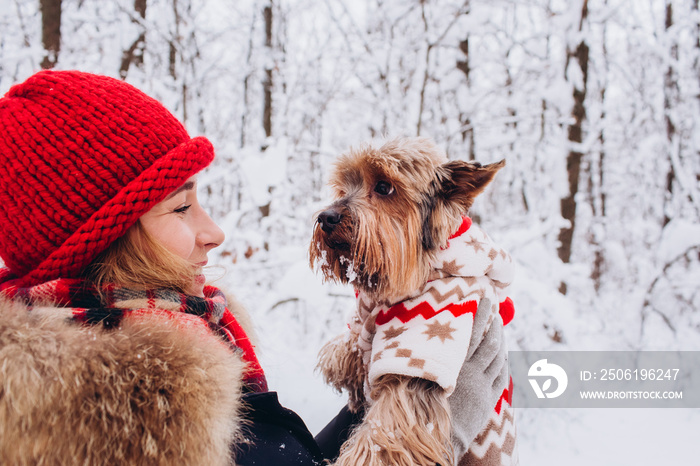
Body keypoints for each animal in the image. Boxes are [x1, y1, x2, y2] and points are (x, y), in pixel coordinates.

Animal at [308, 138, 516, 466]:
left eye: (384, 187)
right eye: (343, 187)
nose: (326, 217)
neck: (422, 268)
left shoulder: (420, 358)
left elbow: (385, 432)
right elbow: (354, 342)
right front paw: (341, 360)